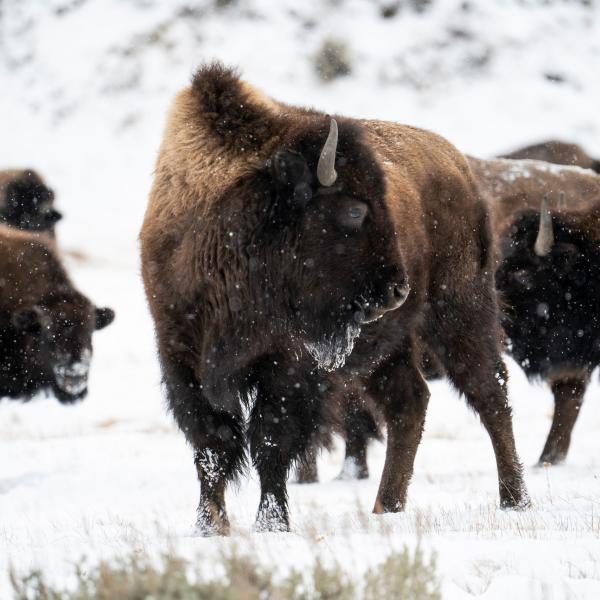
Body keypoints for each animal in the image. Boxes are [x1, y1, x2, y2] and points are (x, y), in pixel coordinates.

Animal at [139, 64, 524, 536]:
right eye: (354, 210)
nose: (397, 290)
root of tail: (459, 166)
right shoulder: (181, 358)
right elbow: (211, 445)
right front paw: (208, 526)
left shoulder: (288, 366)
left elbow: (270, 442)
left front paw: (272, 525)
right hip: (390, 346)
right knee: (410, 403)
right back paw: (387, 505)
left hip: (459, 314)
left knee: (491, 394)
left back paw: (514, 499)